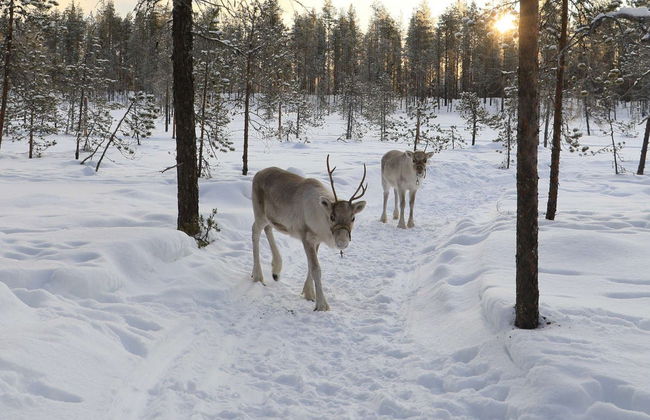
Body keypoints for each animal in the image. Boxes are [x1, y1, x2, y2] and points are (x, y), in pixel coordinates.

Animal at [251, 155, 367, 311]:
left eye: (353, 218)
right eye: (332, 216)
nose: (342, 242)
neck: (322, 220)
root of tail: (258, 174)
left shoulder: (316, 240)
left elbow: (310, 266)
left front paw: (309, 294)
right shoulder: (306, 237)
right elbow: (315, 268)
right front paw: (322, 305)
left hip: (271, 218)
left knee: (268, 229)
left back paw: (276, 270)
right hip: (260, 213)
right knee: (255, 231)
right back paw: (258, 276)